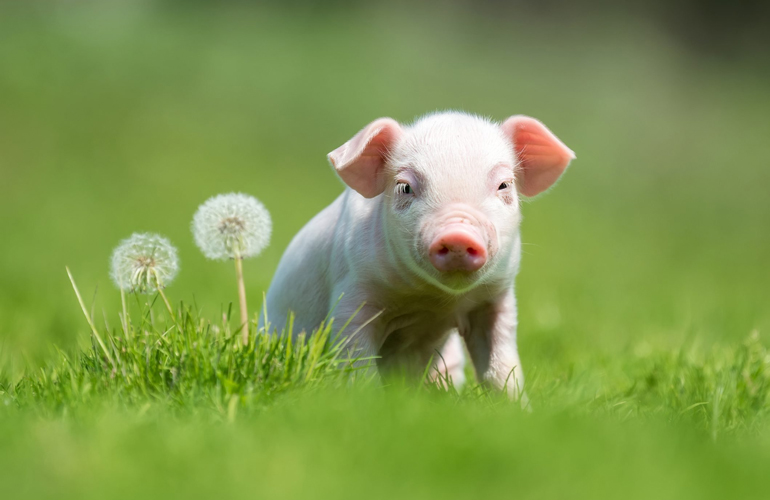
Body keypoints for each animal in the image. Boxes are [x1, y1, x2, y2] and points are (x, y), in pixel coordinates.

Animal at [263, 111, 574, 398]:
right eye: (405, 187)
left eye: (504, 185)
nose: (458, 234)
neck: (434, 301)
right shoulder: (352, 289)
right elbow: (356, 355)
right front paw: (366, 401)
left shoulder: (495, 298)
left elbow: (501, 366)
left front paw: (517, 408)